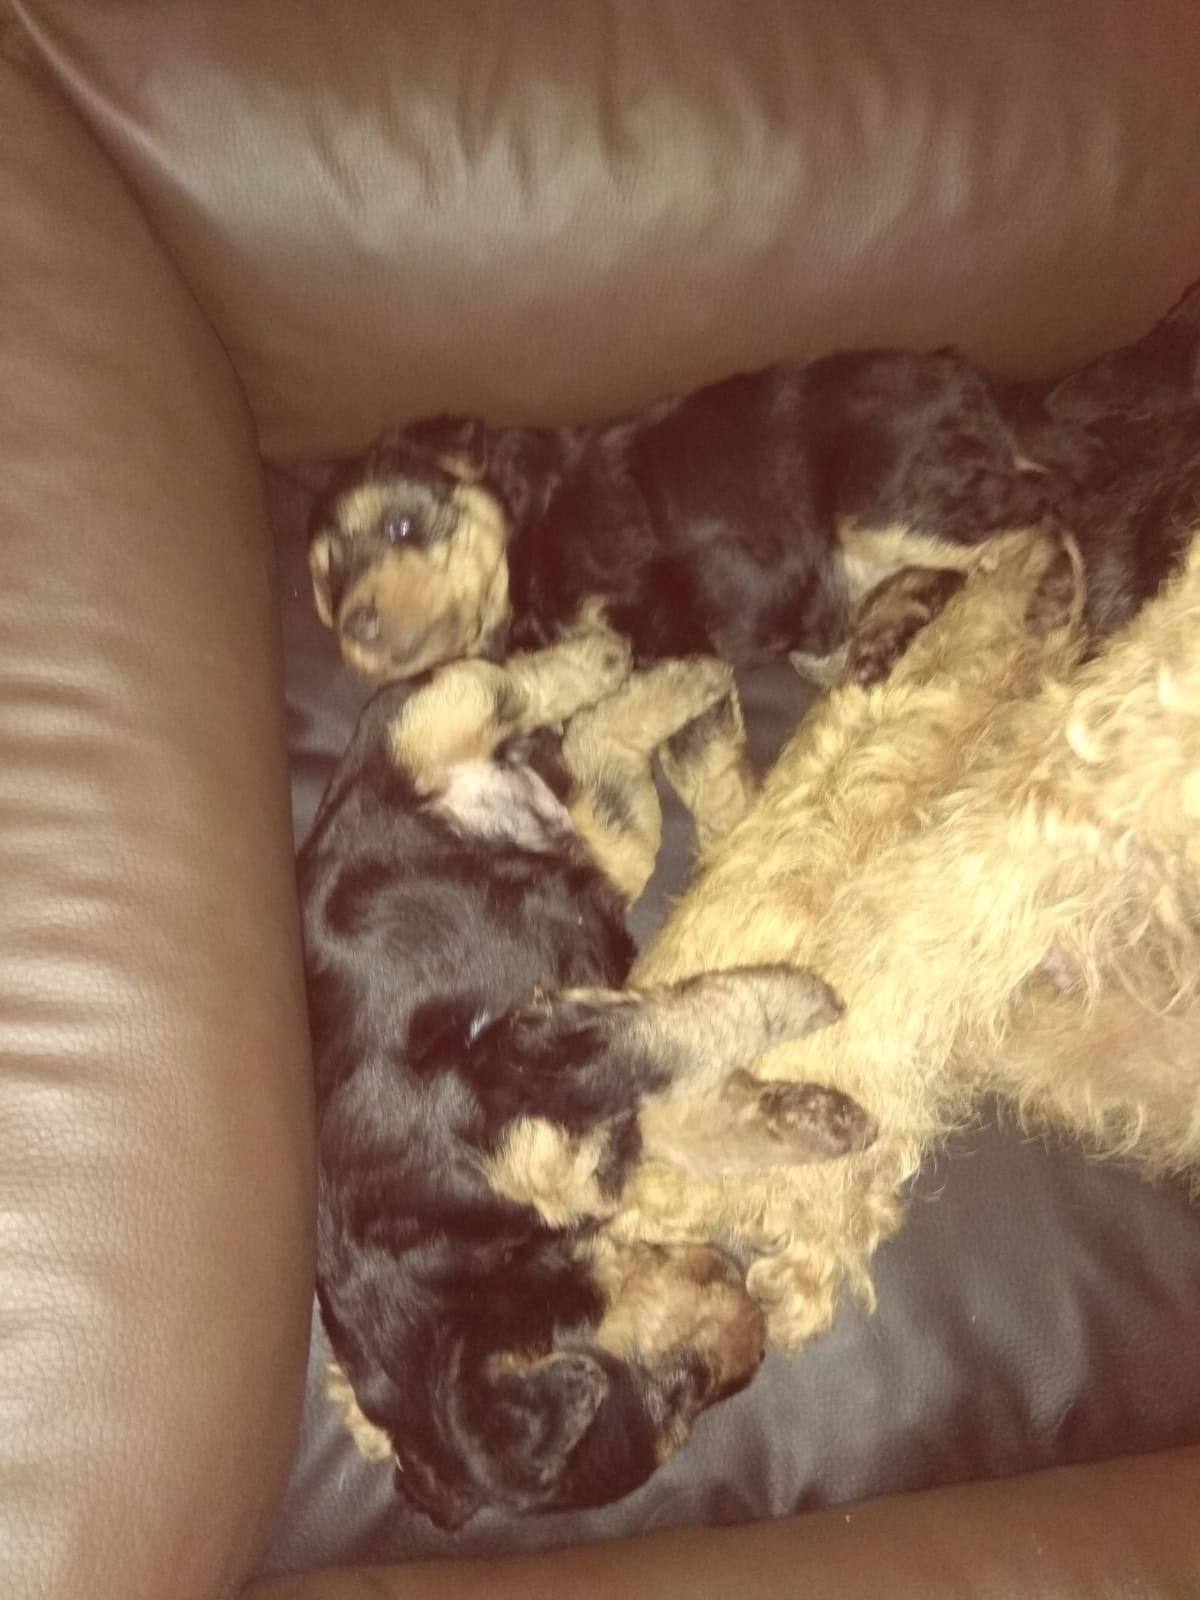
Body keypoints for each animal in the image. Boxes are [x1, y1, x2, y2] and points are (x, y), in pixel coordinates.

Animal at [297, 630, 875, 1527]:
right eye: (684, 1396)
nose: (756, 1344)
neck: (470, 1258)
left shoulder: (530, 1054)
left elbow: (689, 1030)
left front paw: (802, 997)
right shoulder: (584, 1087)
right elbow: (690, 1095)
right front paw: (812, 1116)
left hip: (413, 734)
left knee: (488, 686)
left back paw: (626, 661)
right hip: (611, 837)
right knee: (596, 748)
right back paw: (670, 687)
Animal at [307, 347, 1052, 685]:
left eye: (402, 527)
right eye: (326, 587)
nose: (354, 627)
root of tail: (974, 381)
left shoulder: (655, 620)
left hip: (884, 493)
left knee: (1036, 514)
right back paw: (879, 636)